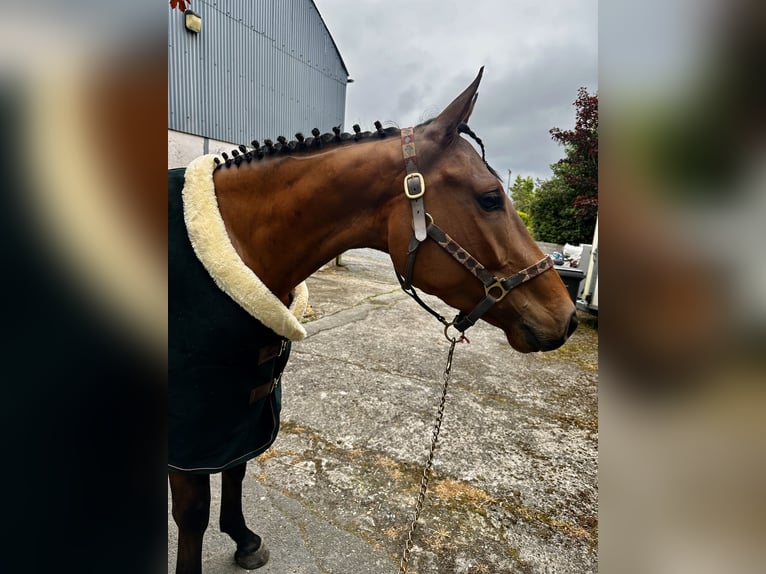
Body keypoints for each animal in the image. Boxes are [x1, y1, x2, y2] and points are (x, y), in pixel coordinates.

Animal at [168, 68, 576, 574]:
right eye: (489, 199)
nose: (567, 316)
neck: (234, 241)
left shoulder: (241, 408)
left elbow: (238, 467)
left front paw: (243, 538)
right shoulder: (190, 428)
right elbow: (192, 512)